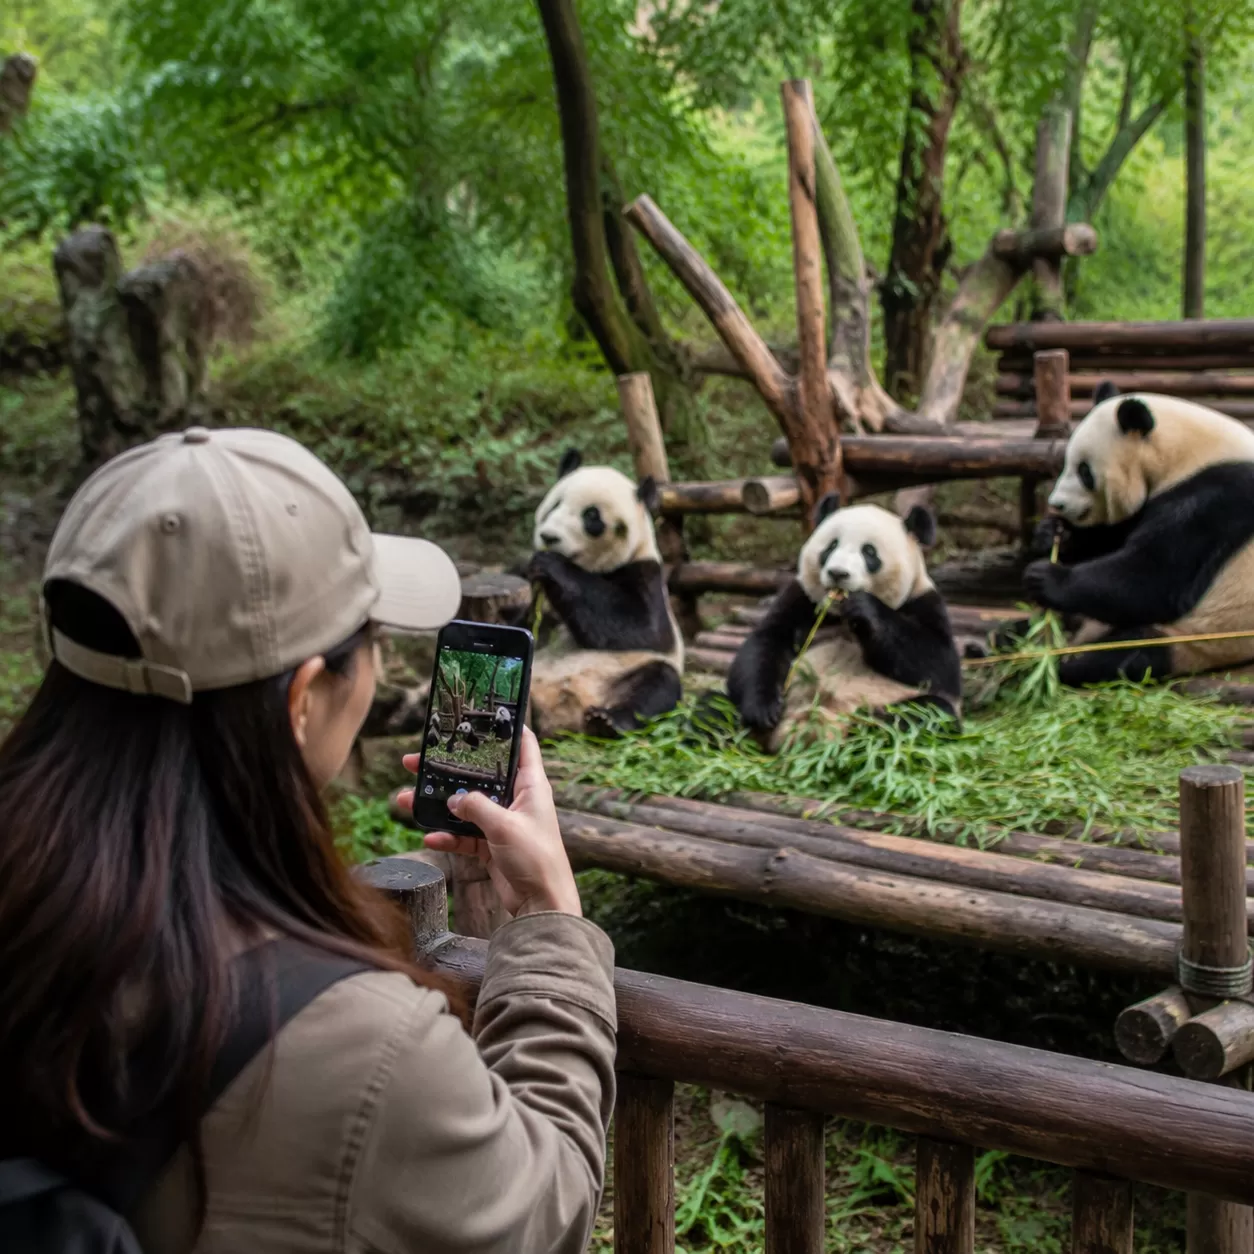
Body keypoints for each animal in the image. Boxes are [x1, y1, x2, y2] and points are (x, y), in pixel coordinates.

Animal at [525, 448, 683, 738]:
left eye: (591, 516)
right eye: (555, 504)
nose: (549, 537)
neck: (592, 568)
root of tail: (563, 718)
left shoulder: (646, 573)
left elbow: (640, 626)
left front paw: (550, 565)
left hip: (620, 678)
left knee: (658, 682)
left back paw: (607, 721)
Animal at [727, 494, 962, 752]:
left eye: (869, 552)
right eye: (831, 546)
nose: (838, 573)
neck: (839, 612)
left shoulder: (924, 600)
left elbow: (939, 665)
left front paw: (865, 608)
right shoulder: (801, 597)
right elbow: (767, 641)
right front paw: (763, 709)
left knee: (930, 711)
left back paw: (867, 727)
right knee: (714, 707)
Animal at [1023, 385, 1254, 685]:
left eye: (1085, 471)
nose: (1057, 504)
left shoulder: (1213, 498)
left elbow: (1155, 578)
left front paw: (1045, 577)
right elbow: (1117, 537)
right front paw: (1053, 534)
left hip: (1199, 638)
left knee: (1132, 652)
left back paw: (1065, 660)